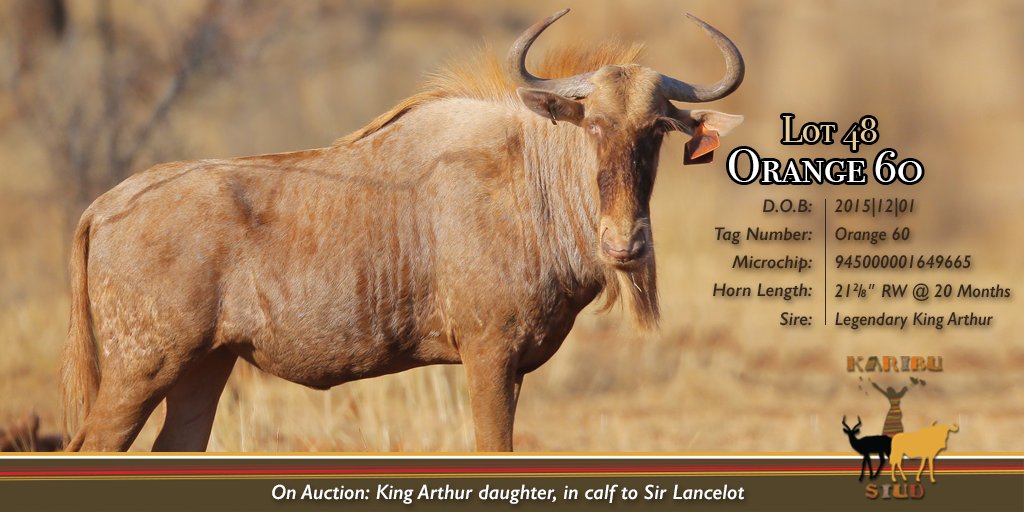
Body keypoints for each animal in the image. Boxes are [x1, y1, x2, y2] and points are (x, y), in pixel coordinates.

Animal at [61, 9, 745, 451]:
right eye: (593, 125)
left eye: (658, 129)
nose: (624, 246)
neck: (531, 181)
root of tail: (102, 206)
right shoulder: (488, 356)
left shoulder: (514, 367)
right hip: (140, 374)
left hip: (204, 369)